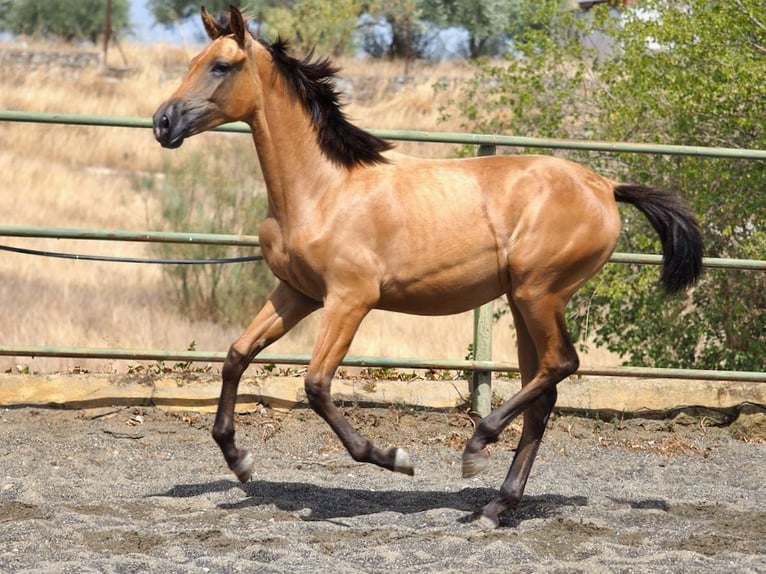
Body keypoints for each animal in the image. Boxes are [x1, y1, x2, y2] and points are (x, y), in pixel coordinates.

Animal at [153, 6, 704, 528]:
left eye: (222, 66)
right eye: (194, 61)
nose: (163, 122)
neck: (323, 189)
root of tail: (605, 186)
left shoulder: (350, 299)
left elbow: (315, 384)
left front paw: (393, 458)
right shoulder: (297, 292)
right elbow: (235, 356)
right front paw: (238, 459)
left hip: (538, 293)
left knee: (560, 365)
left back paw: (476, 448)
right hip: (524, 301)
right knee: (544, 391)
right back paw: (495, 506)